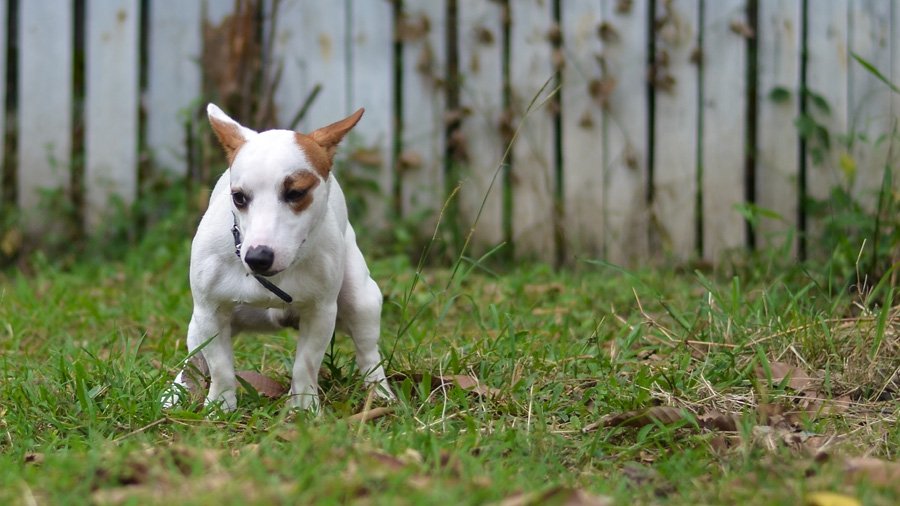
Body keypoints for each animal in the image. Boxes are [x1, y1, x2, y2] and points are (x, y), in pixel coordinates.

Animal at [164, 103, 394, 412]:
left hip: (361, 299)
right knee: (195, 359)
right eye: (238, 197)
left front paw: (303, 408)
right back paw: (178, 390)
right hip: (196, 326)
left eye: (296, 192)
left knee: (368, 352)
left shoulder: (321, 312)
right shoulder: (209, 312)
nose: (258, 257)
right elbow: (220, 367)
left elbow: (305, 364)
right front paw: (221, 407)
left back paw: (379, 393)